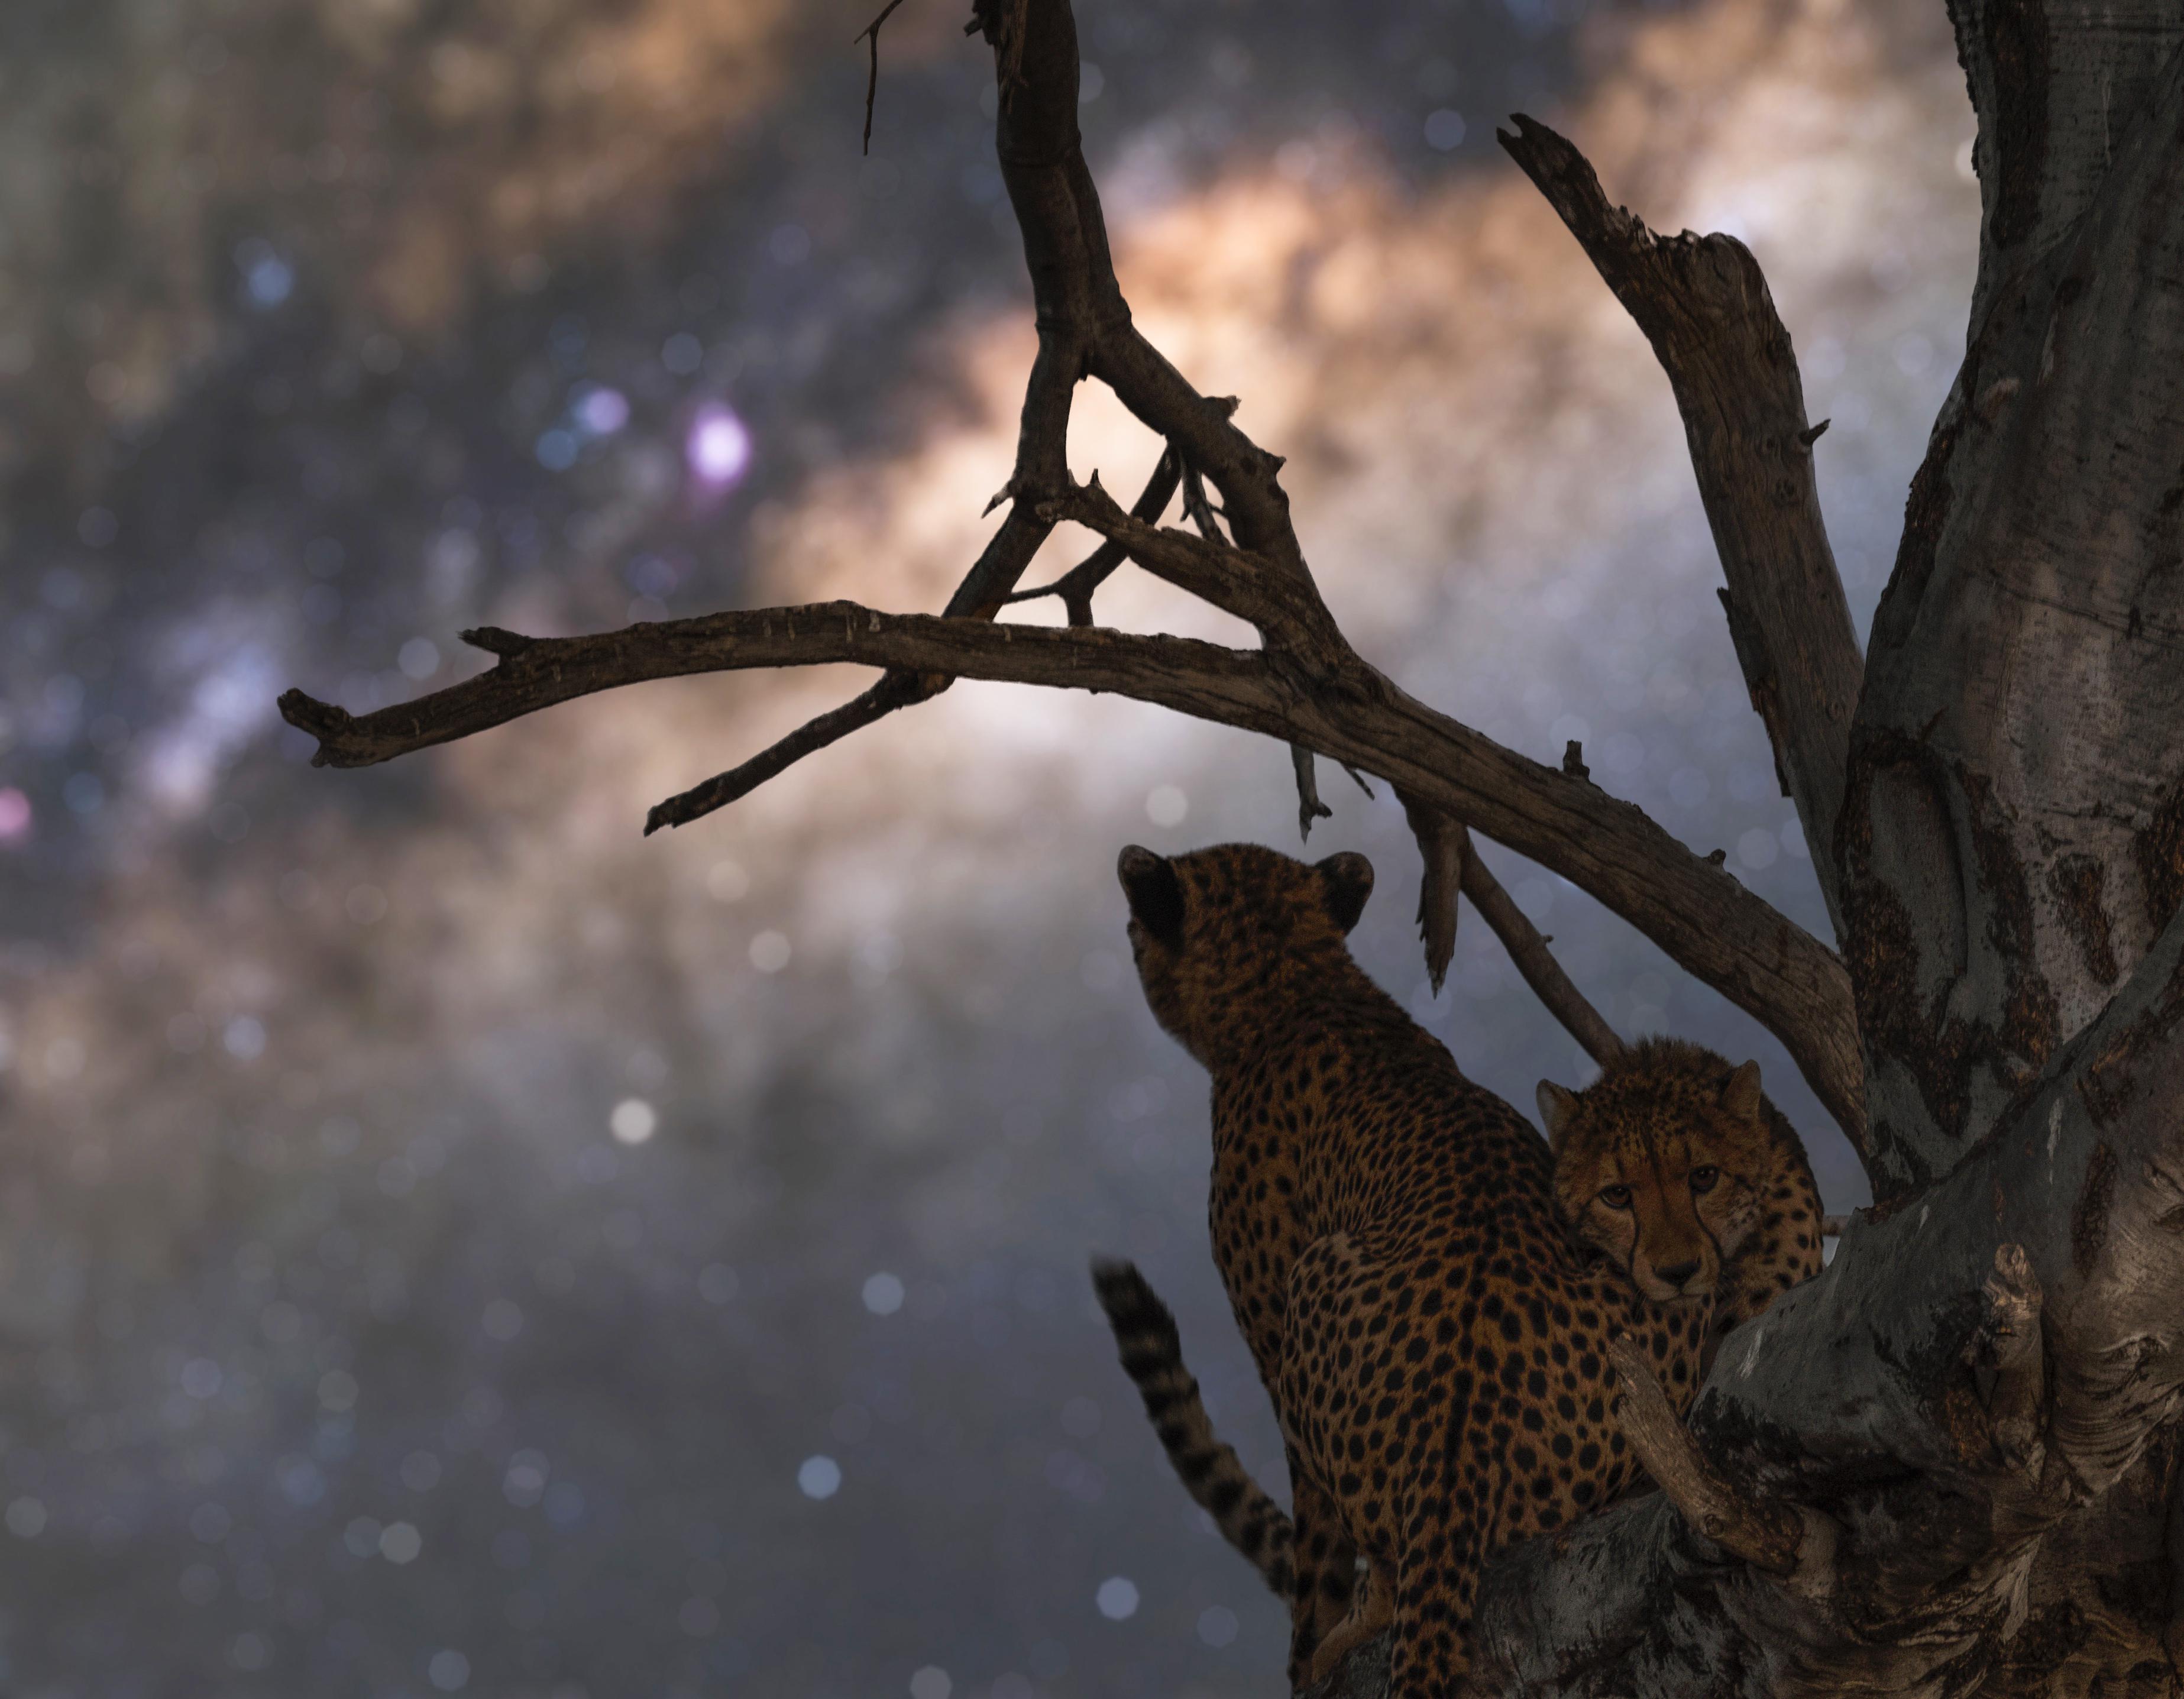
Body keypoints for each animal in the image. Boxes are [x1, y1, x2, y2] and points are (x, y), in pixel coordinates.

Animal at [1107, 840, 1715, 1696]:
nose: (1126, 932)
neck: (1292, 985)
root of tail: (1459, 1448)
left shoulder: (1273, 1339)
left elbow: (1316, 1545)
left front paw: (1306, 1651)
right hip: (1667, 1296)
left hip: (1316, 1278)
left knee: (1386, 1567)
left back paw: (1350, 1630)